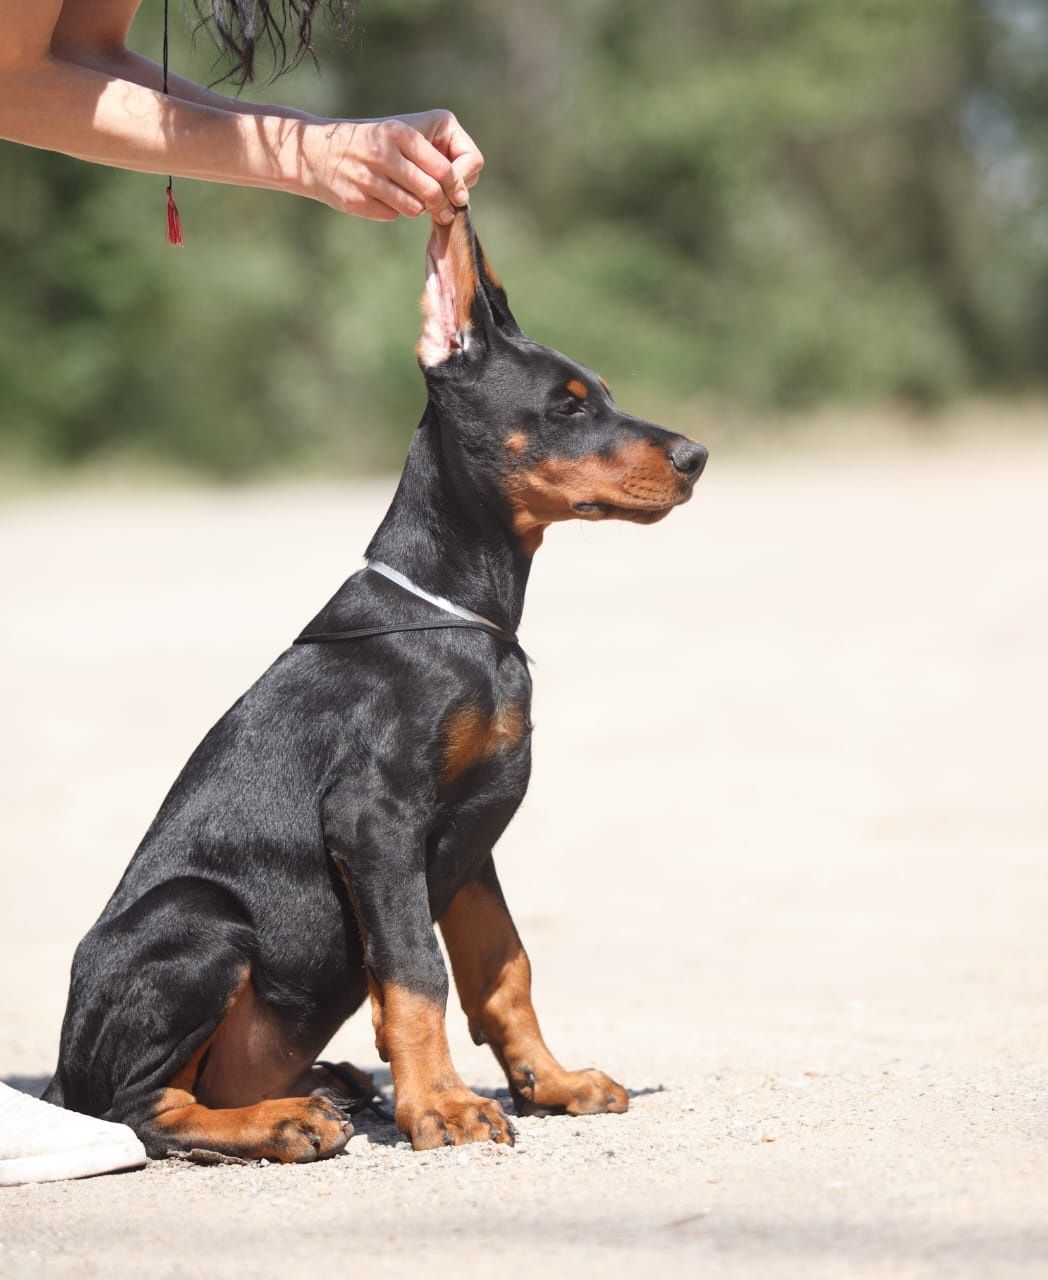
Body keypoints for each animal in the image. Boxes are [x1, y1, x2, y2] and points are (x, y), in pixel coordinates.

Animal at [45, 209, 711, 1162]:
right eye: (567, 406)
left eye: (606, 395)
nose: (697, 456)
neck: (461, 613)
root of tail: (61, 1079)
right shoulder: (376, 816)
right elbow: (415, 969)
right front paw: (441, 1109)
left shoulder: (471, 834)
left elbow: (503, 966)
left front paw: (550, 1083)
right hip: (201, 918)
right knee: (142, 1111)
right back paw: (284, 1120)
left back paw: (328, 1085)